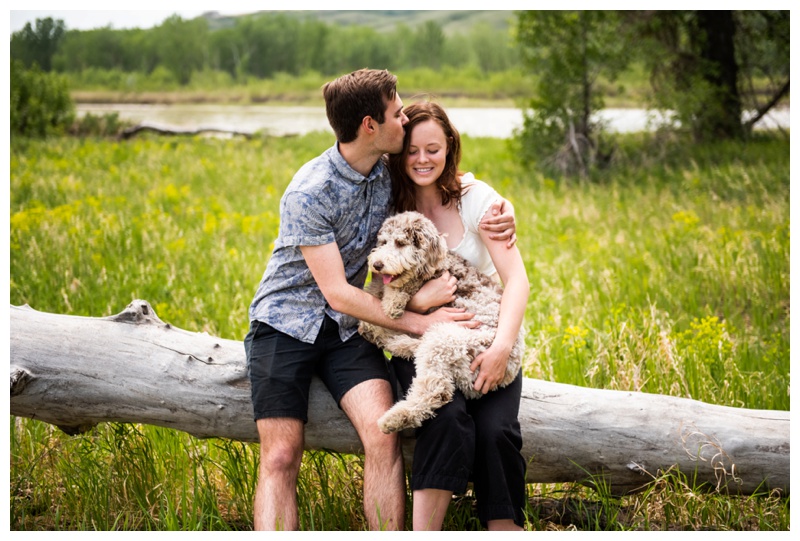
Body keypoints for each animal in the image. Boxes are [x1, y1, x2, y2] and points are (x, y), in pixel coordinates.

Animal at [358, 212, 520, 434]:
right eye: (383, 242)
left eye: (400, 243)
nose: (377, 264)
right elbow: (375, 290)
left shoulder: (429, 277)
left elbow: (402, 287)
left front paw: (392, 302)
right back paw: (388, 339)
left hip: (446, 339)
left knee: (436, 390)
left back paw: (395, 418)